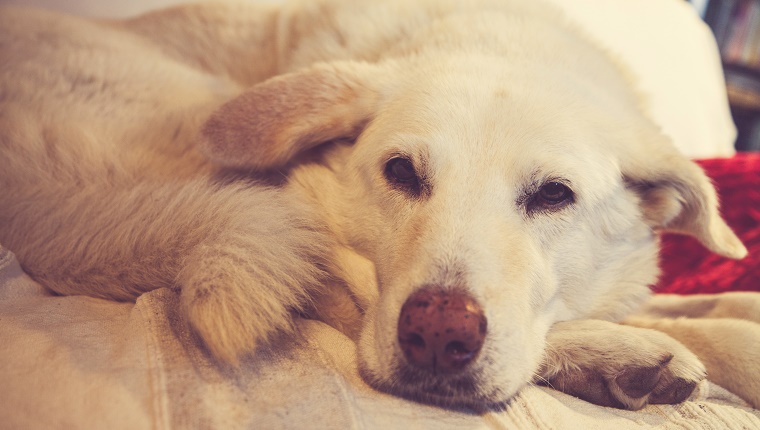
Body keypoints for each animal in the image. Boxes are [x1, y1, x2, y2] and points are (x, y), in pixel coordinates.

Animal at [0, 0, 756, 412]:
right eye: (400, 171)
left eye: (553, 195)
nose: (440, 335)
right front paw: (649, 343)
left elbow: (705, 307)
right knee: (321, 288)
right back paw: (620, 357)